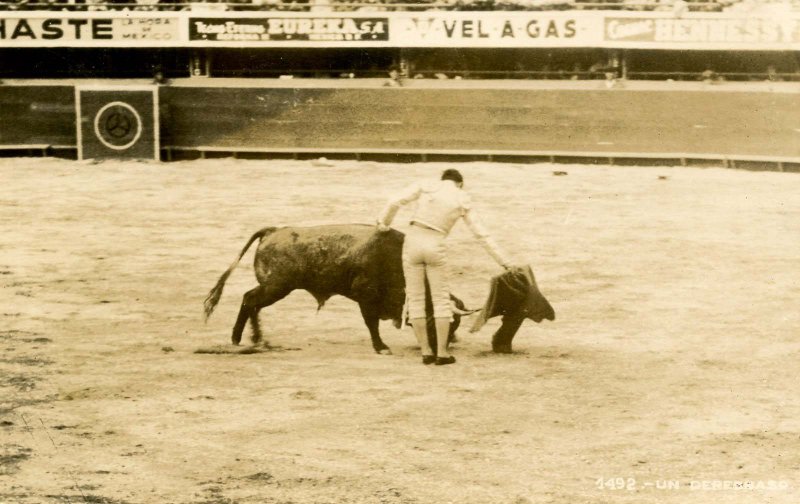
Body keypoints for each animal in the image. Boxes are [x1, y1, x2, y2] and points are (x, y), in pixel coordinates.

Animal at [203, 224, 552, 354]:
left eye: (453, 325)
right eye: (443, 323)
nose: (446, 345)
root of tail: (273, 230)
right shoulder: (366, 296)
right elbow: (371, 323)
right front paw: (381, 346)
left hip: (276, 287)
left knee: (252, 302)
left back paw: (256, 339)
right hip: (278, 285)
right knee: (250, 300)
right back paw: (239, 339)